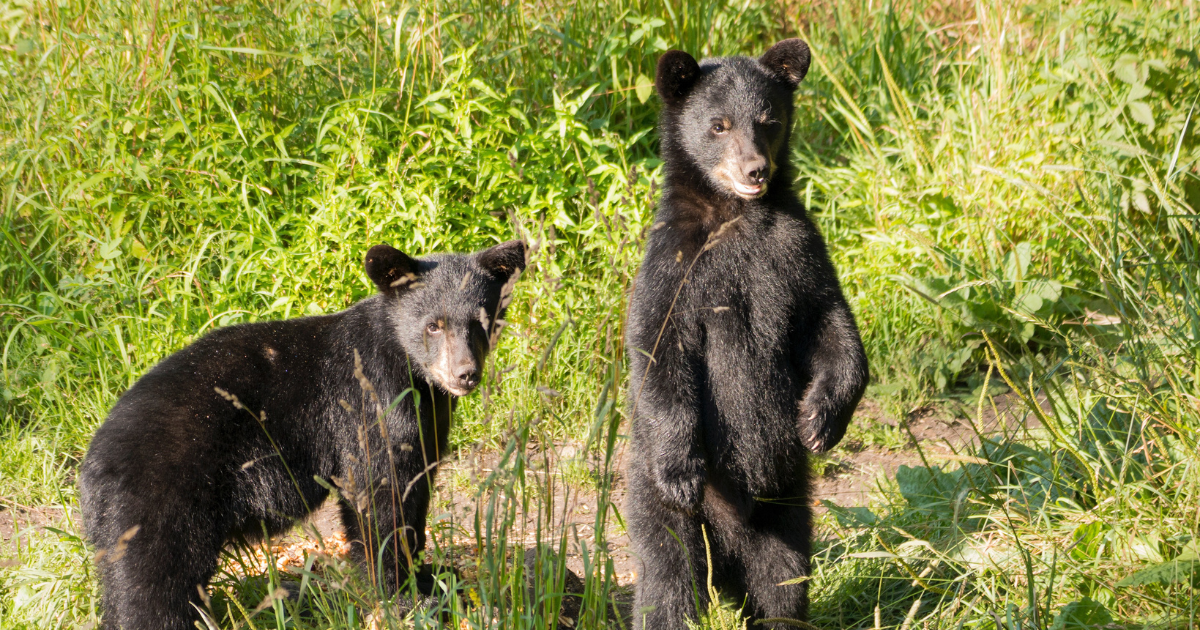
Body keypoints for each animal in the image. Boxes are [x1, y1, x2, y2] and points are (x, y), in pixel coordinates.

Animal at [79, 239, 526, 630]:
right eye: (433, 325)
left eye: (481, 322)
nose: (465, 374)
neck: (411, 373)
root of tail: (90, 468)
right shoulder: (368, 404)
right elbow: (379, 495)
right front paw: (404, 598)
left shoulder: (427, 421)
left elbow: (414, 490)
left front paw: (431, 575)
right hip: (159, 500)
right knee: (150, 585)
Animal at [623, 39, 869, 629]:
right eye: (719, 124)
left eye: (768, 120)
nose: (756, 170)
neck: (737, 216)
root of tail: (727, 548)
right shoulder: (677, 270)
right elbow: (659, 350)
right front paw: (682, 469)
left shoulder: (796, 251)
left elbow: (831, 325)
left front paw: (819, 421)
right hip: (656, 505)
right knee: (668, 580)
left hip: (786, 506)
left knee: (782, 579)